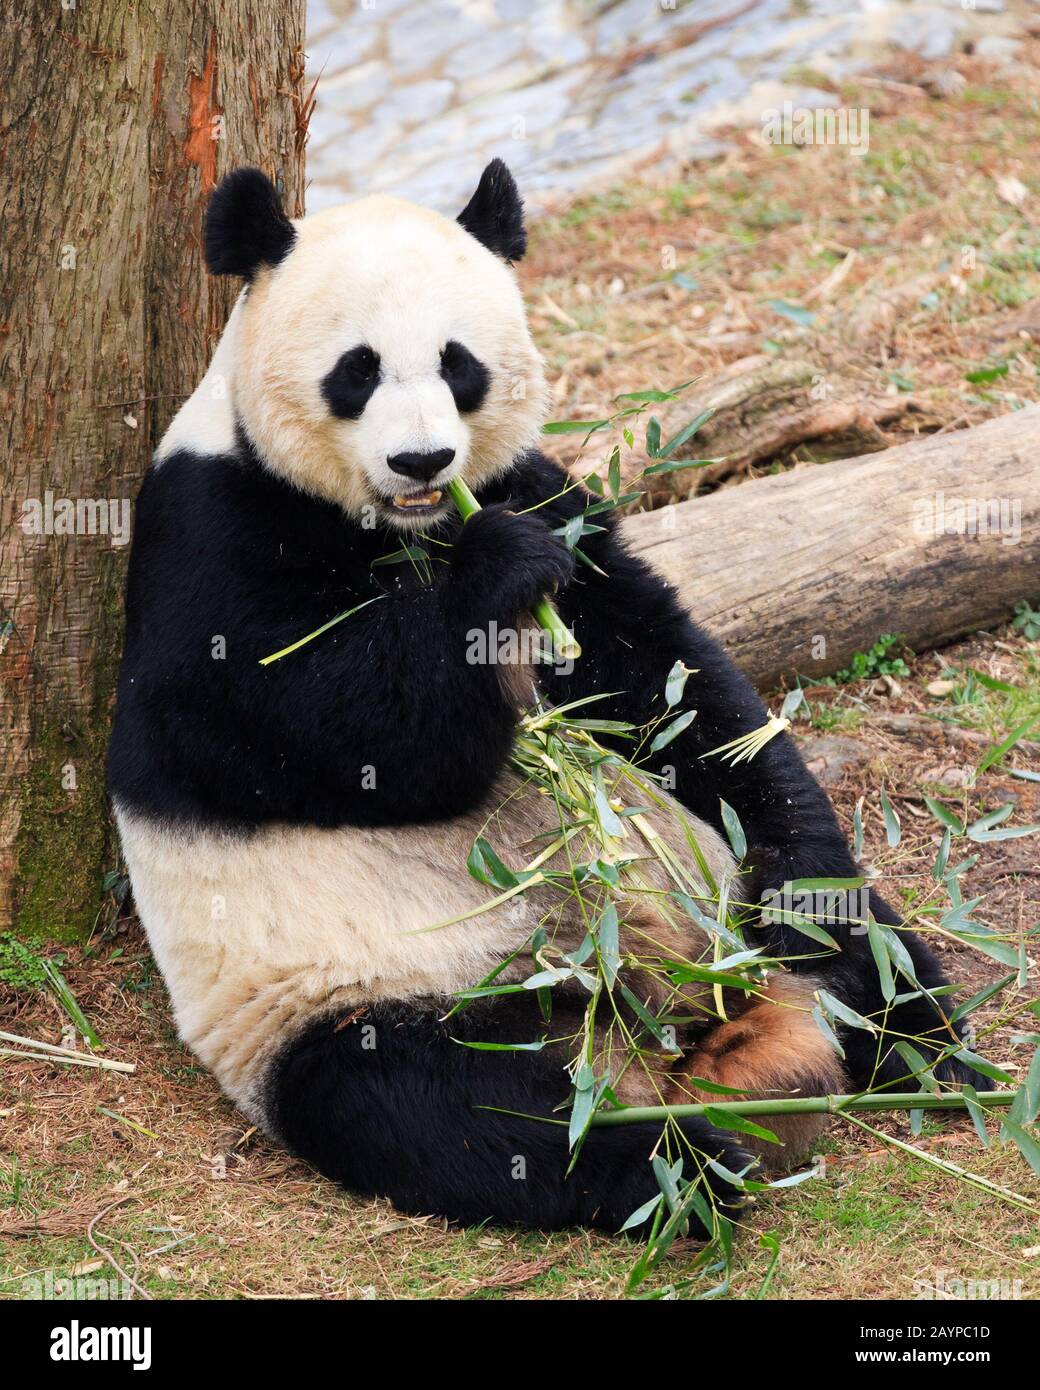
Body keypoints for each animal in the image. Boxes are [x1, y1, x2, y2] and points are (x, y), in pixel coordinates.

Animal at [108, 161, 970, 1236]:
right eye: (357, 370)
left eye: (457, 363)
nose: (423, 461)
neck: (407, 528)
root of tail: (666, 1033)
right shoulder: (208, 536)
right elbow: (324, 732)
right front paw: (492, 574)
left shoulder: (539, 489)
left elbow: (659, 678)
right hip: (354, 1003)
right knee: (447, 1110)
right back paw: (677, 1166)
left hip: (723, 910)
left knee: (864, 953)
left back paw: (929, 1051)